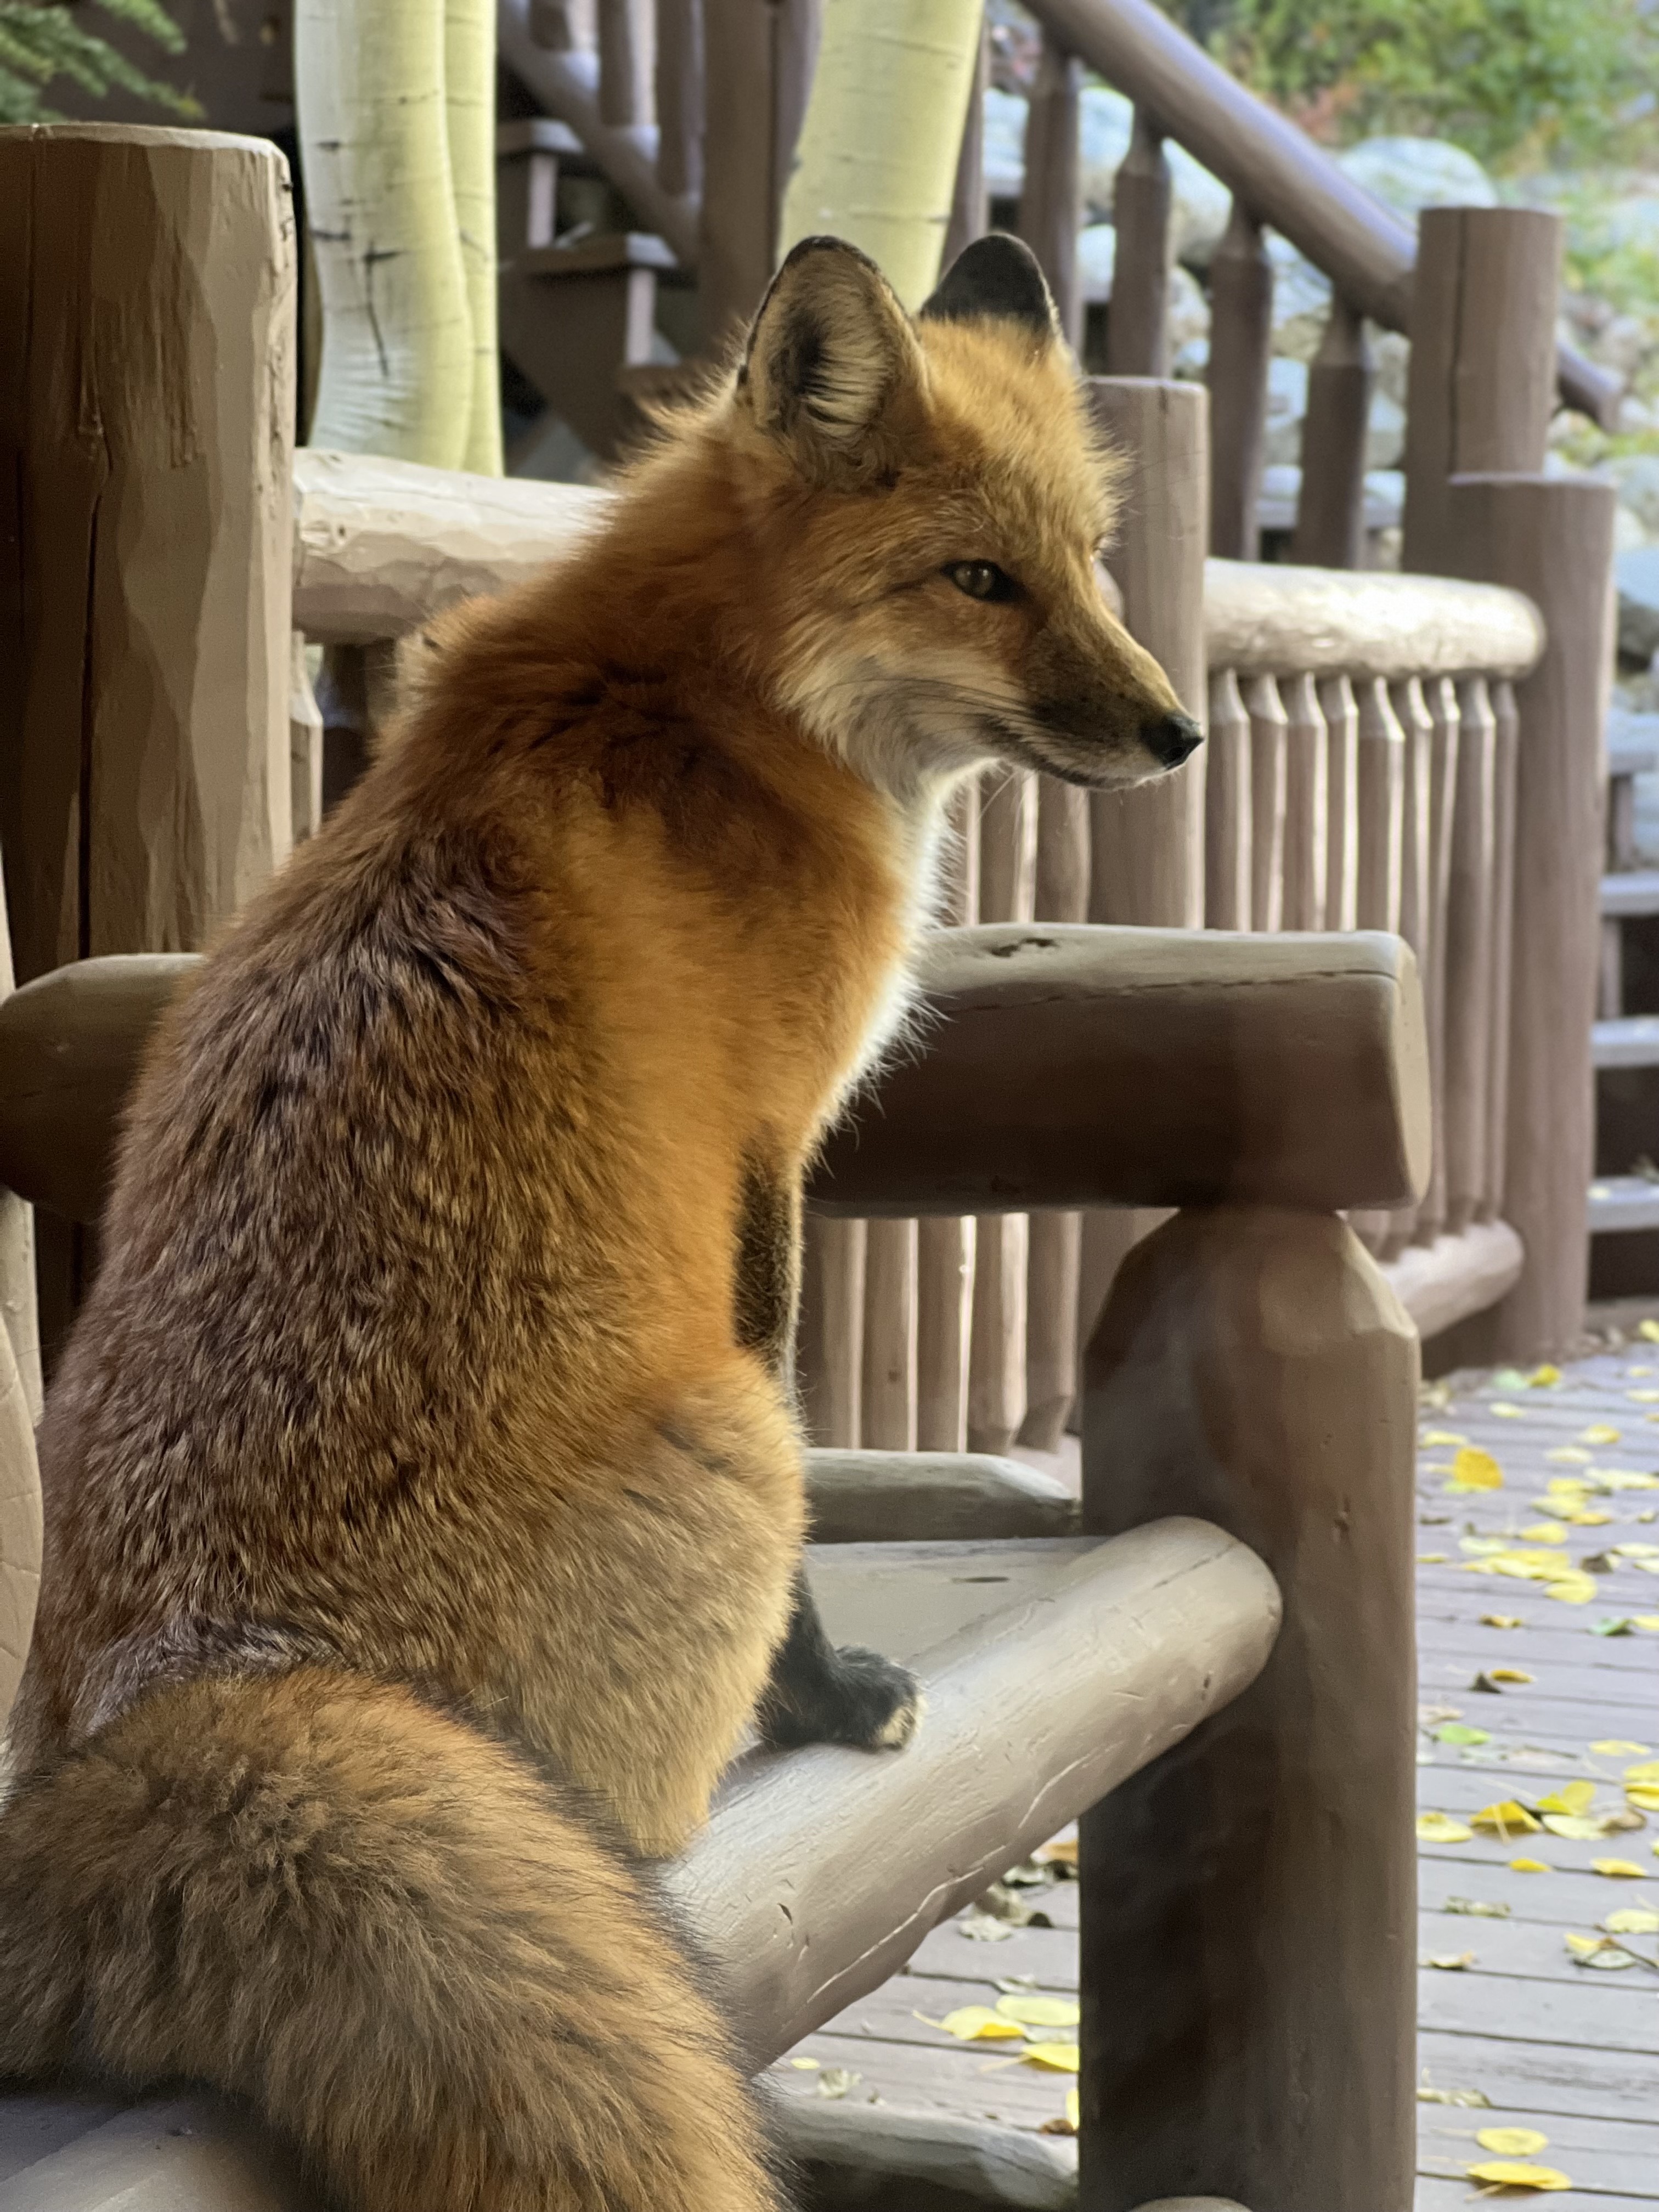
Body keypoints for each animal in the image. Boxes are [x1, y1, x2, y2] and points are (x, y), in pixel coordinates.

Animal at [0, 232, 1196, 2212]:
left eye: (1093, 559)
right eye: (979, 579)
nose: (1181, 730)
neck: (721, 707)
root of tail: (165, 1722)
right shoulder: (767, 1163)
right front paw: (822, 1697)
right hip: (725, 1441)